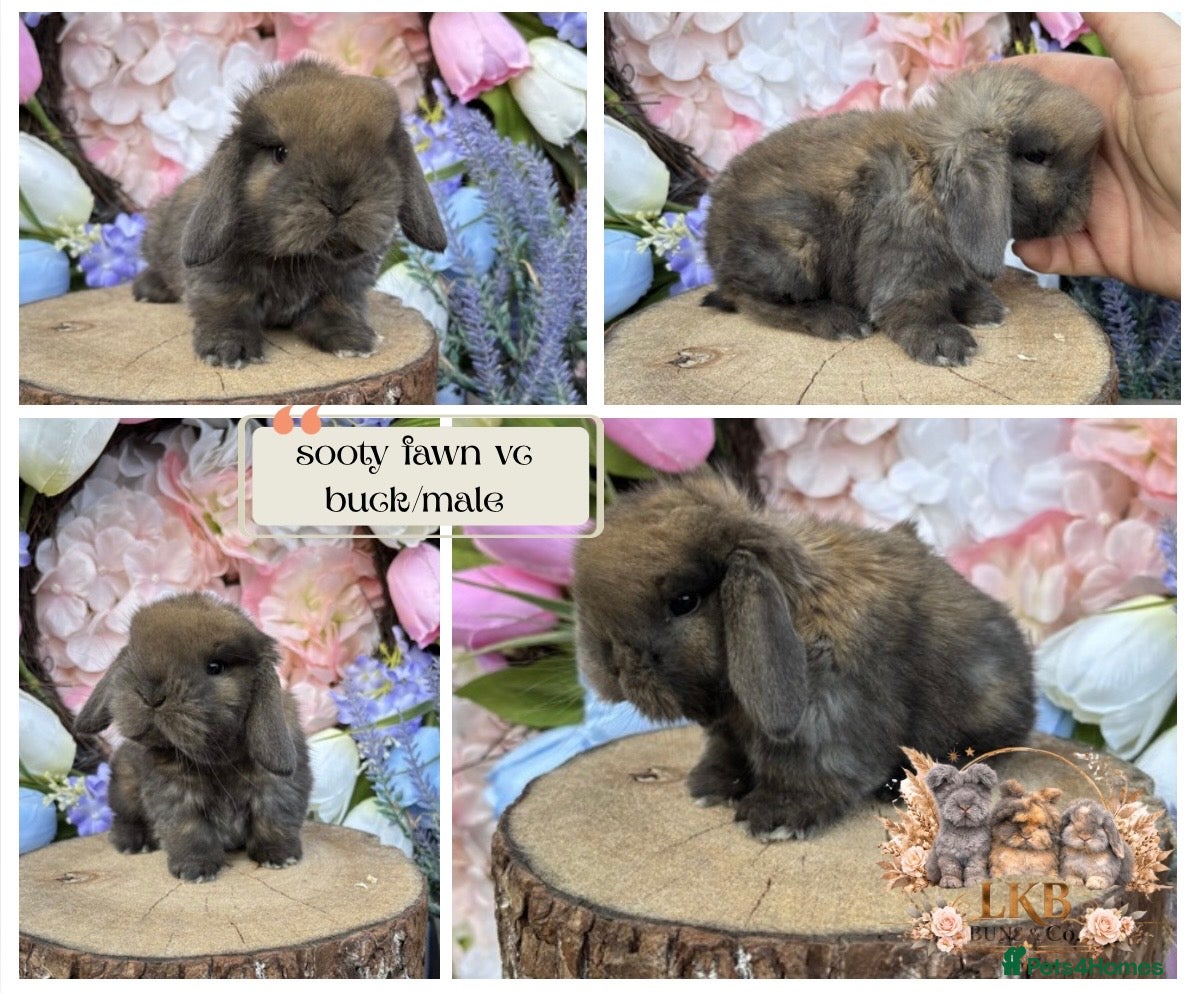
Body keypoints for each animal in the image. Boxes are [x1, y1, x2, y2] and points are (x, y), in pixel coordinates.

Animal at [74, 593, 313, 882]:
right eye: (133, 653)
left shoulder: (277, 789)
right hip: (124, 783)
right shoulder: (176, 795)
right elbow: (188, 831)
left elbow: (275, 820)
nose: (151, 695)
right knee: (125, 818)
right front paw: (195, 869)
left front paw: (280, 856)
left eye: (215, 667)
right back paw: (134, 842)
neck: (217, 757)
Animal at [132, 59, 447, 368]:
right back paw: (149, 290)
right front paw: (228, 349)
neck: (299, 258)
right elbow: (226, 306)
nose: (338, 201)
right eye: (280, 153)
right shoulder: (218, 278)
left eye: (380, 154)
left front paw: (354, 339)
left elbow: (335, 310)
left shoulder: (343, 287)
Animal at [571, 472, 1035, 841]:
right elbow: (727, 753)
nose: (609, 667)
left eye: (683, 601)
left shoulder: (825, 722)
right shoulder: (731, 729)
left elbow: (808, 772)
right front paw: (710, 786)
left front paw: (774, 818)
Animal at [702, 64, 1103, 367]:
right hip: (793, 253)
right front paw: (946, 345)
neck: (935, 177)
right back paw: (838, 321)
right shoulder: (904, 265)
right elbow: (913, 306)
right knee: (752, 301)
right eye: (1036, 156)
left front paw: (985, 309)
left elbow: (961, 287)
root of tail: (711, 242)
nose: (1084, 206)